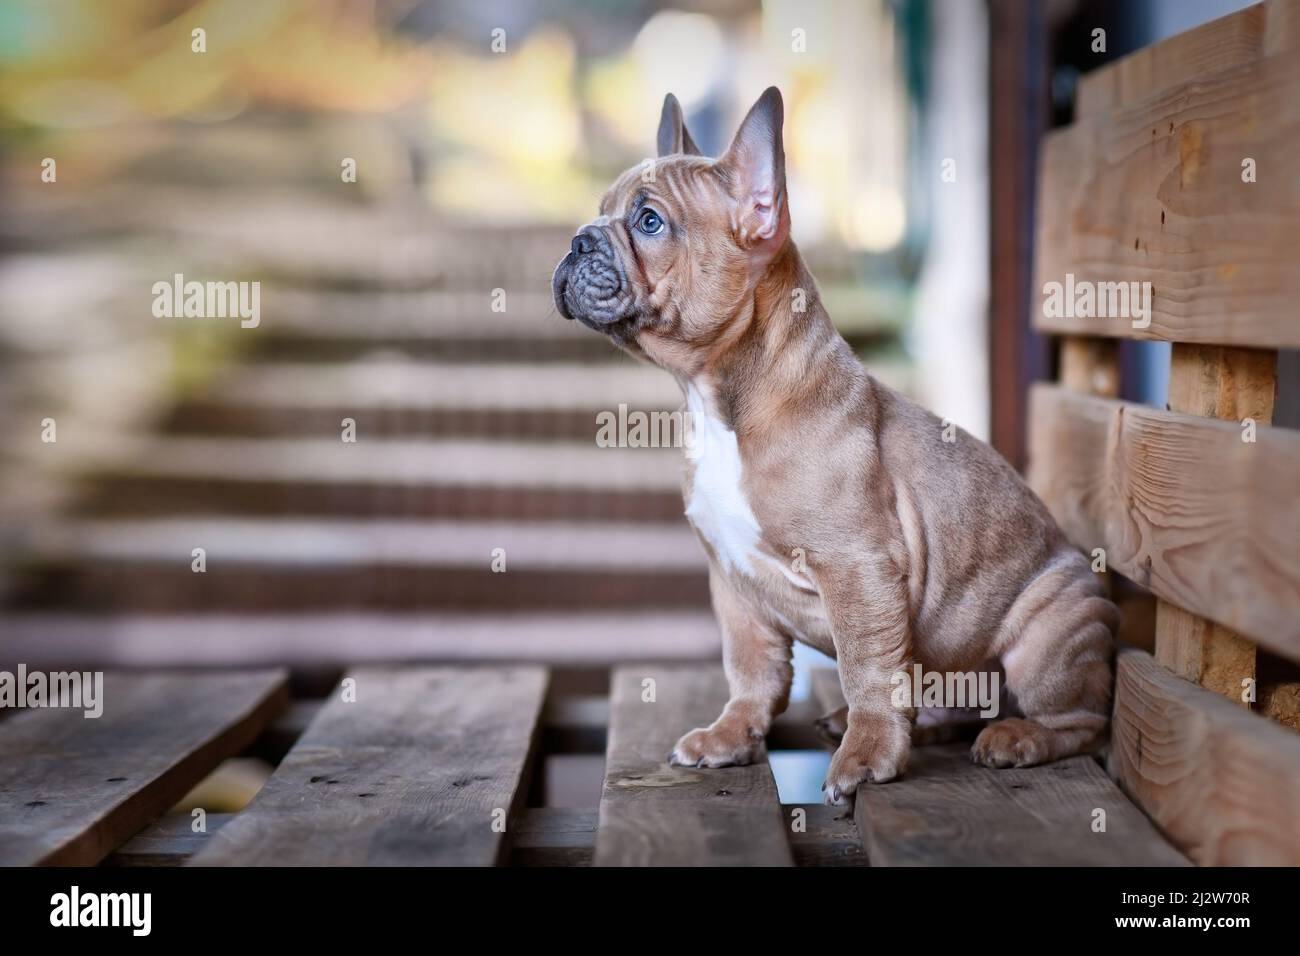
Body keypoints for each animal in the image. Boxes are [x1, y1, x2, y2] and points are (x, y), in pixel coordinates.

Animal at [551, 87, 1118, 806]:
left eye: (649, 221)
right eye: (601, 210)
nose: (576, 240)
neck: (724, 403)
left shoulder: (858, 570)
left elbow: (866, 667)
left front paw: (868, 753)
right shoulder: (733, 585)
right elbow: (751, 668)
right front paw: (733, 734)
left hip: (1047, 635)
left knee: (1080, 722)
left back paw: (1020, 738)